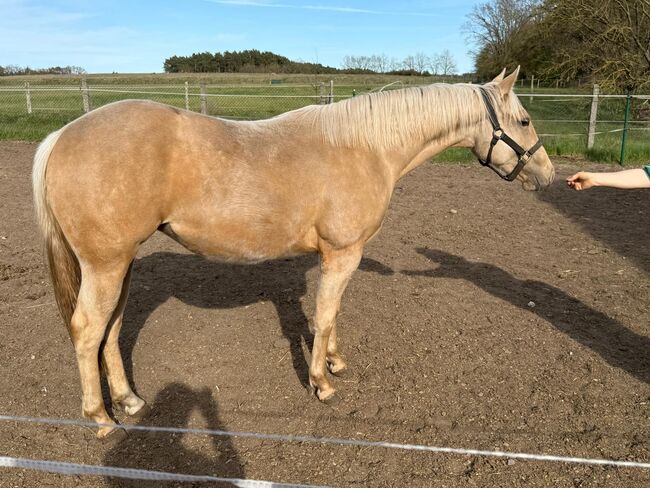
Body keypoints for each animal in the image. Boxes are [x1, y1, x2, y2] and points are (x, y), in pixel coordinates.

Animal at [32, 67, 554, 438]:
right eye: (525, 120)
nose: (548, 175)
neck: (365, 147)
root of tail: (61, 136)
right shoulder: (343, 253)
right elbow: (323, 315)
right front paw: (322, 382)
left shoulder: (341, 255)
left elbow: (331, 311)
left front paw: (335, 362)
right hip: (105, 265)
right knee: (87, 330)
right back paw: (101, 418)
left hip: (120, 265)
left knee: (112, 328)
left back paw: (129, 401)